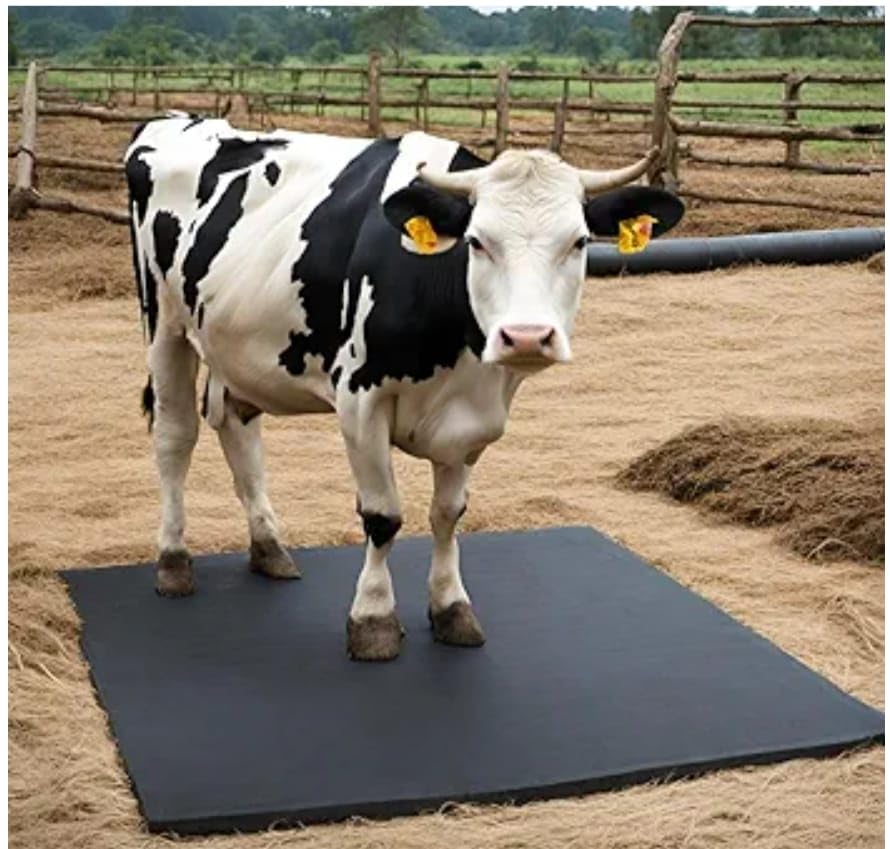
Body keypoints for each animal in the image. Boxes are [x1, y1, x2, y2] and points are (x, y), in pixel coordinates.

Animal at [125, 116, 684, 661]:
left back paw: (269, 546)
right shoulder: (360, 402)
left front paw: (451, 608)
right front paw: (373, 618)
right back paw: (173, 560)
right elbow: (383, 517)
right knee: (175, 437)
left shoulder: (474, 417)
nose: (526, 336)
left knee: (236, 426)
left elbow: (448, 515)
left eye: (580, 242)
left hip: (236, 344)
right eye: (477, 241)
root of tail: (175, 118)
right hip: (165, 324)